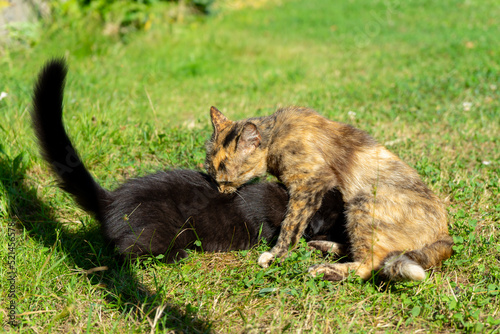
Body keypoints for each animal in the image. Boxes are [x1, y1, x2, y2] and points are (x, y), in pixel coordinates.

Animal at [30, 58, 344, 262]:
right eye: (336, 220)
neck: (285, 196)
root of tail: (111, 201)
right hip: (163, 230)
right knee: (128, 251)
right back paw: (178, 254)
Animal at [205, 105, 456, 280]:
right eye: (211, 173)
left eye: (225, 178)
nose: (220, 190)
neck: (276, 134)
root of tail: (444, 235)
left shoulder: (310, 182)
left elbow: (290, 225)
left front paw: (276, 255)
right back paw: (325, 246)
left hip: (363, 204)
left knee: (369, 265)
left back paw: (322, 270)